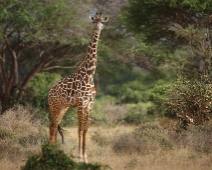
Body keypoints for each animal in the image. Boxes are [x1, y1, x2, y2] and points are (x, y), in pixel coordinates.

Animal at [47, 12, 108, 162]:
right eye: (94, 22)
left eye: (102, 22)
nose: (97, 29)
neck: (89, 74)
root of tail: (49, 92)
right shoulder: (81, 102)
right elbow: (79, 129)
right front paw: (80, 157)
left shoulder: (89, 103)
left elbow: (85, 129)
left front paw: (85, 158)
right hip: (55, 106)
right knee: (52, 126)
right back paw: (50, 152)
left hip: (63, 108)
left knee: (53, 126)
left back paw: (55, 152)